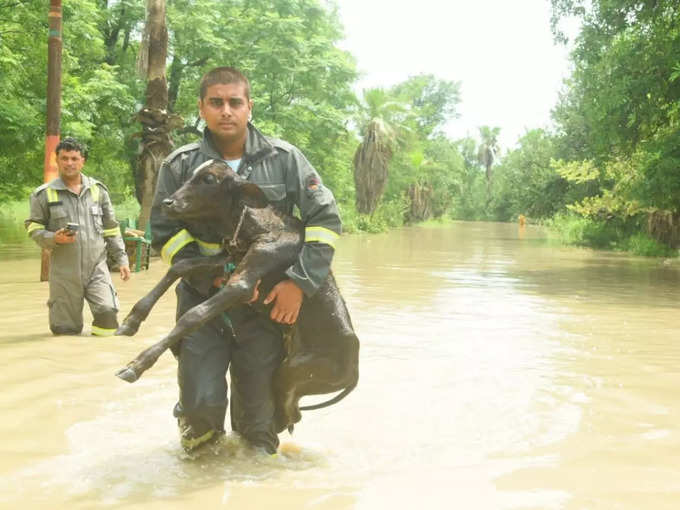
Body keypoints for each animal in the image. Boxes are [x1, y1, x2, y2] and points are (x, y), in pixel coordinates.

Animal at [115, 161, 362, 432]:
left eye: (209, 179)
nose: (168, 202)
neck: (256, 227)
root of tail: (355, 371)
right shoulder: (226, 260)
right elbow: (180, 266)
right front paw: (131, 320)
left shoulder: (241, 284)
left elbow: (193, 315)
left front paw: (138, 364)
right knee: (293, 415)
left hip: (294, 372)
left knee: (286, 413)